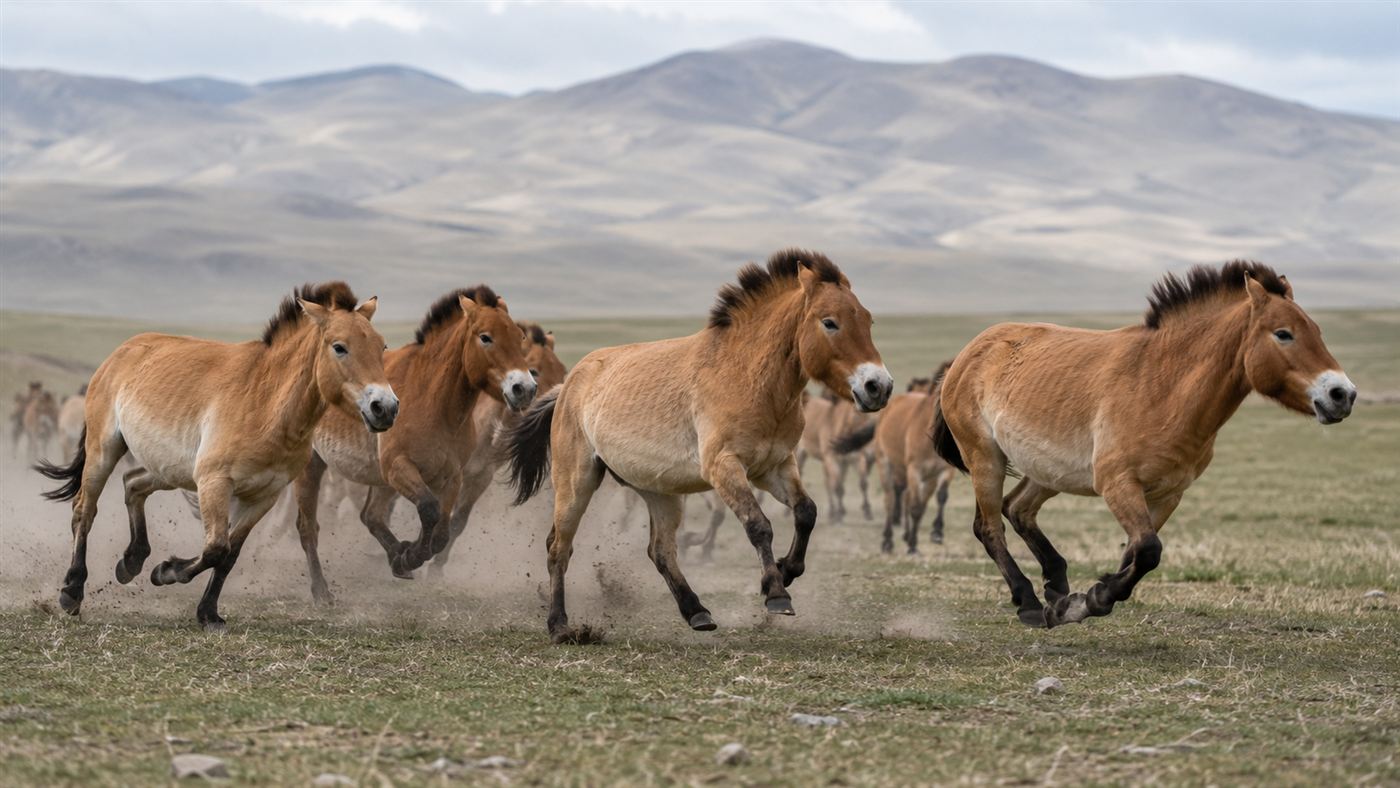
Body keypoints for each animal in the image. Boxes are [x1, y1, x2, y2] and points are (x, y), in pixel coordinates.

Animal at [36, 282, 396, 630]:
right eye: (340, 347)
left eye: (382, 347)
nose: (386, 407)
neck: (267, 404)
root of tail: (120, 353)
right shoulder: (215, 483)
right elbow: (215, 549)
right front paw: (166, 571)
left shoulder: (264, 496)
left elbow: (230, 555)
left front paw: (208, 612)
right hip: (103, 451)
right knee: (85, 509)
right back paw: (72, 591)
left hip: (169, 470)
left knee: (133, 483)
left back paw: (131, 561)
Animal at [292, 286, 537, 604]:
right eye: (485, 337)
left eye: (519, 337)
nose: (525, 389)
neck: (433, 400)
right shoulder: (400, 468)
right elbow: (429, 510)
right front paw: (411, 555)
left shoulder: (451, 476)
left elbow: (442, 530)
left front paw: (407, 555)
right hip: (312, 466)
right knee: (309, 527)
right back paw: (322, 591)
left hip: (380, 481)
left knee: (371, 515)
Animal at [504, 249, 893, 643]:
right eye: (830, 323)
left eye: (869, 319)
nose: (879, 386)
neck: (746, 377)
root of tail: (570, 383)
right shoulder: (724, 467)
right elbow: (758, 525)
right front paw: (776, 592)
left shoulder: (776, 466)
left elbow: (806, 512)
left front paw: (786, 570)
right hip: (576, 481)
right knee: (559, 547)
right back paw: (559, 625)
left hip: (659, 492)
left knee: (660, 551)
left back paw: (697, 611)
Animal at [833, 363, 954, 554]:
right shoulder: (914, 470)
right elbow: (915, 506)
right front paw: (912, 545)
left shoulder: (940, 472)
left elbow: (933, 500)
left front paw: (935, 533)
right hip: (886, 465)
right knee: (890, 500)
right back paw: (887, 540)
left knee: (904, 497)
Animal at [932, 261, 1357, 628]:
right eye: (1283, 333)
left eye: (1318, 331)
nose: (1342, 394)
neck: (1162, 386)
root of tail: (967, 354)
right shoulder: (1118, 484)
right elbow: (1149, 550)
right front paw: (1089, 600)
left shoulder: (1167, 494)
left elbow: (1136, 554)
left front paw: (1081, 601)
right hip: (985, 458)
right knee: (989, 527)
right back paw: (1031, 603)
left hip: (1047, 471)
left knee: (1017, 509)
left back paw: (1056, 585)